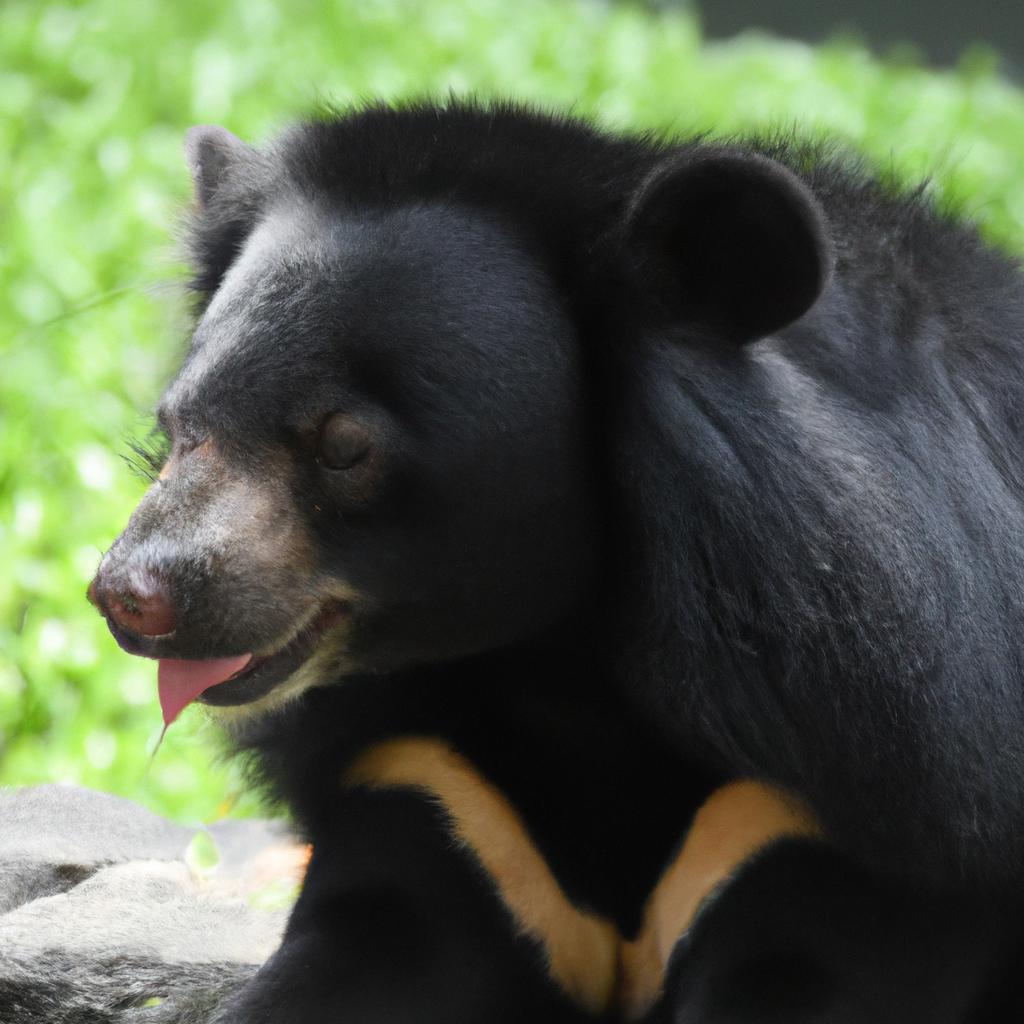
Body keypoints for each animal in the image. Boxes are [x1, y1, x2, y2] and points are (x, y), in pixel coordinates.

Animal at [88, 99, 1024, 1019]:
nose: (131, 594)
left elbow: (803, 968)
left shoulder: (860, 779)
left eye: (344, 444)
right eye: (178, 423)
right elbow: (371, 940)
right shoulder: (440, 783)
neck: (563, 665)